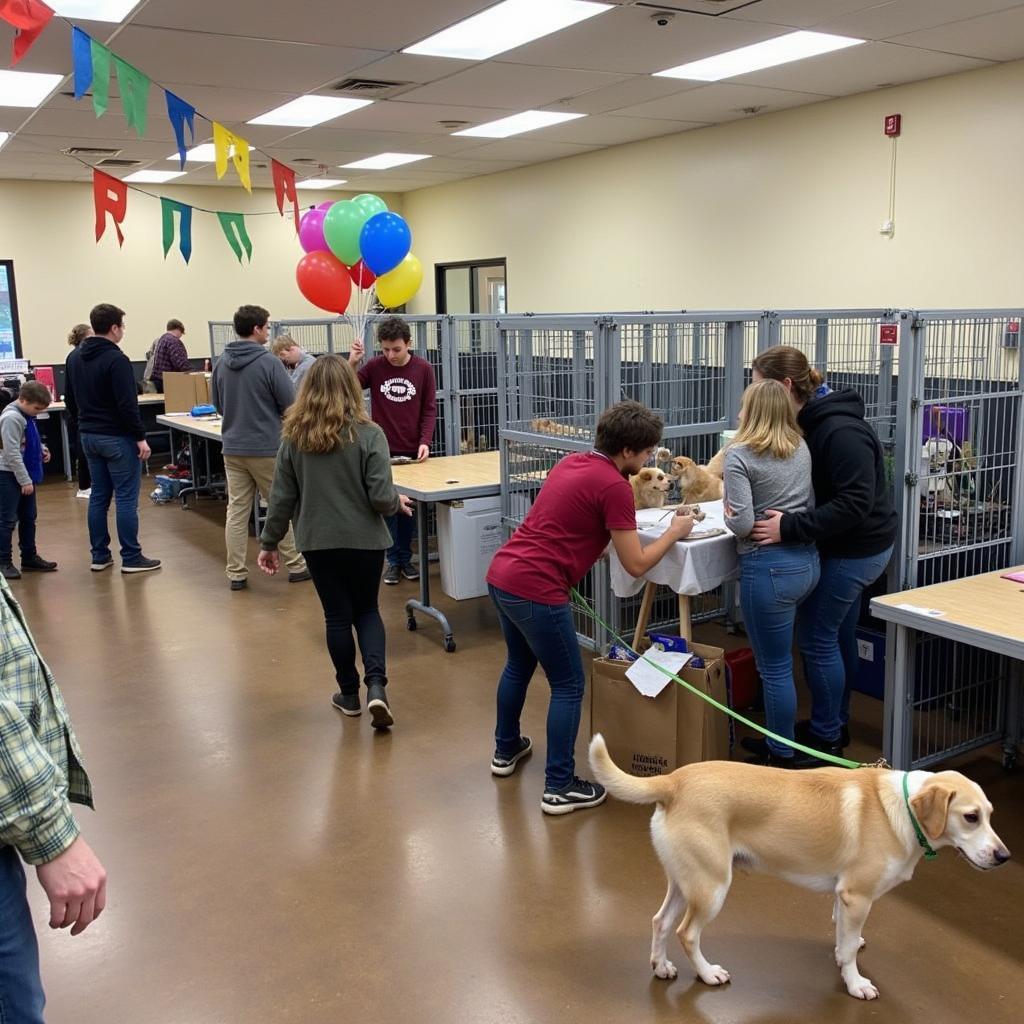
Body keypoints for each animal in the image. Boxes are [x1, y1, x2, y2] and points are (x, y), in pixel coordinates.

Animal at [589, 737, 1011, 999]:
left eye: (991, 815)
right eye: (970, 817)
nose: (1004, 856)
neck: (902, 808)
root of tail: (673, 781)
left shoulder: (843, 897)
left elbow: (842, 938)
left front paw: (844, 956)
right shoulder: (857, 897)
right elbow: (849, 950)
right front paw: (855, 983)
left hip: (686, 882)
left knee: (660, 922)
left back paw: (660, 966)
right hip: (712, 888)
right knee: (686, 933)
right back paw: (708, 973)